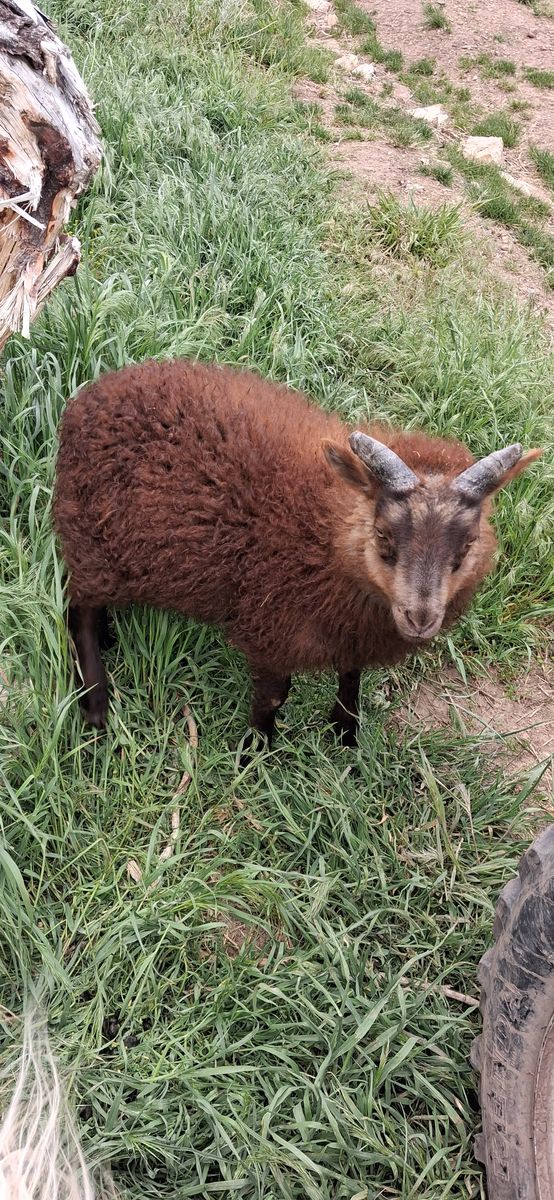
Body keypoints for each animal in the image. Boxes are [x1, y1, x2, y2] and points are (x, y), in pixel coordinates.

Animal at [53, 358, 540, 747]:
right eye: (383, 535)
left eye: (468, 544)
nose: (420, 619)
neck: (323, 532)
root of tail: (90, 396)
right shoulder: (271, 626)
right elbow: (274, 696)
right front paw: (257, 750)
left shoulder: (350, 628)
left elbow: (351, 675)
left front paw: (346, 733)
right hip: (95, 541)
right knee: (78, 611)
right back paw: (95, 704)